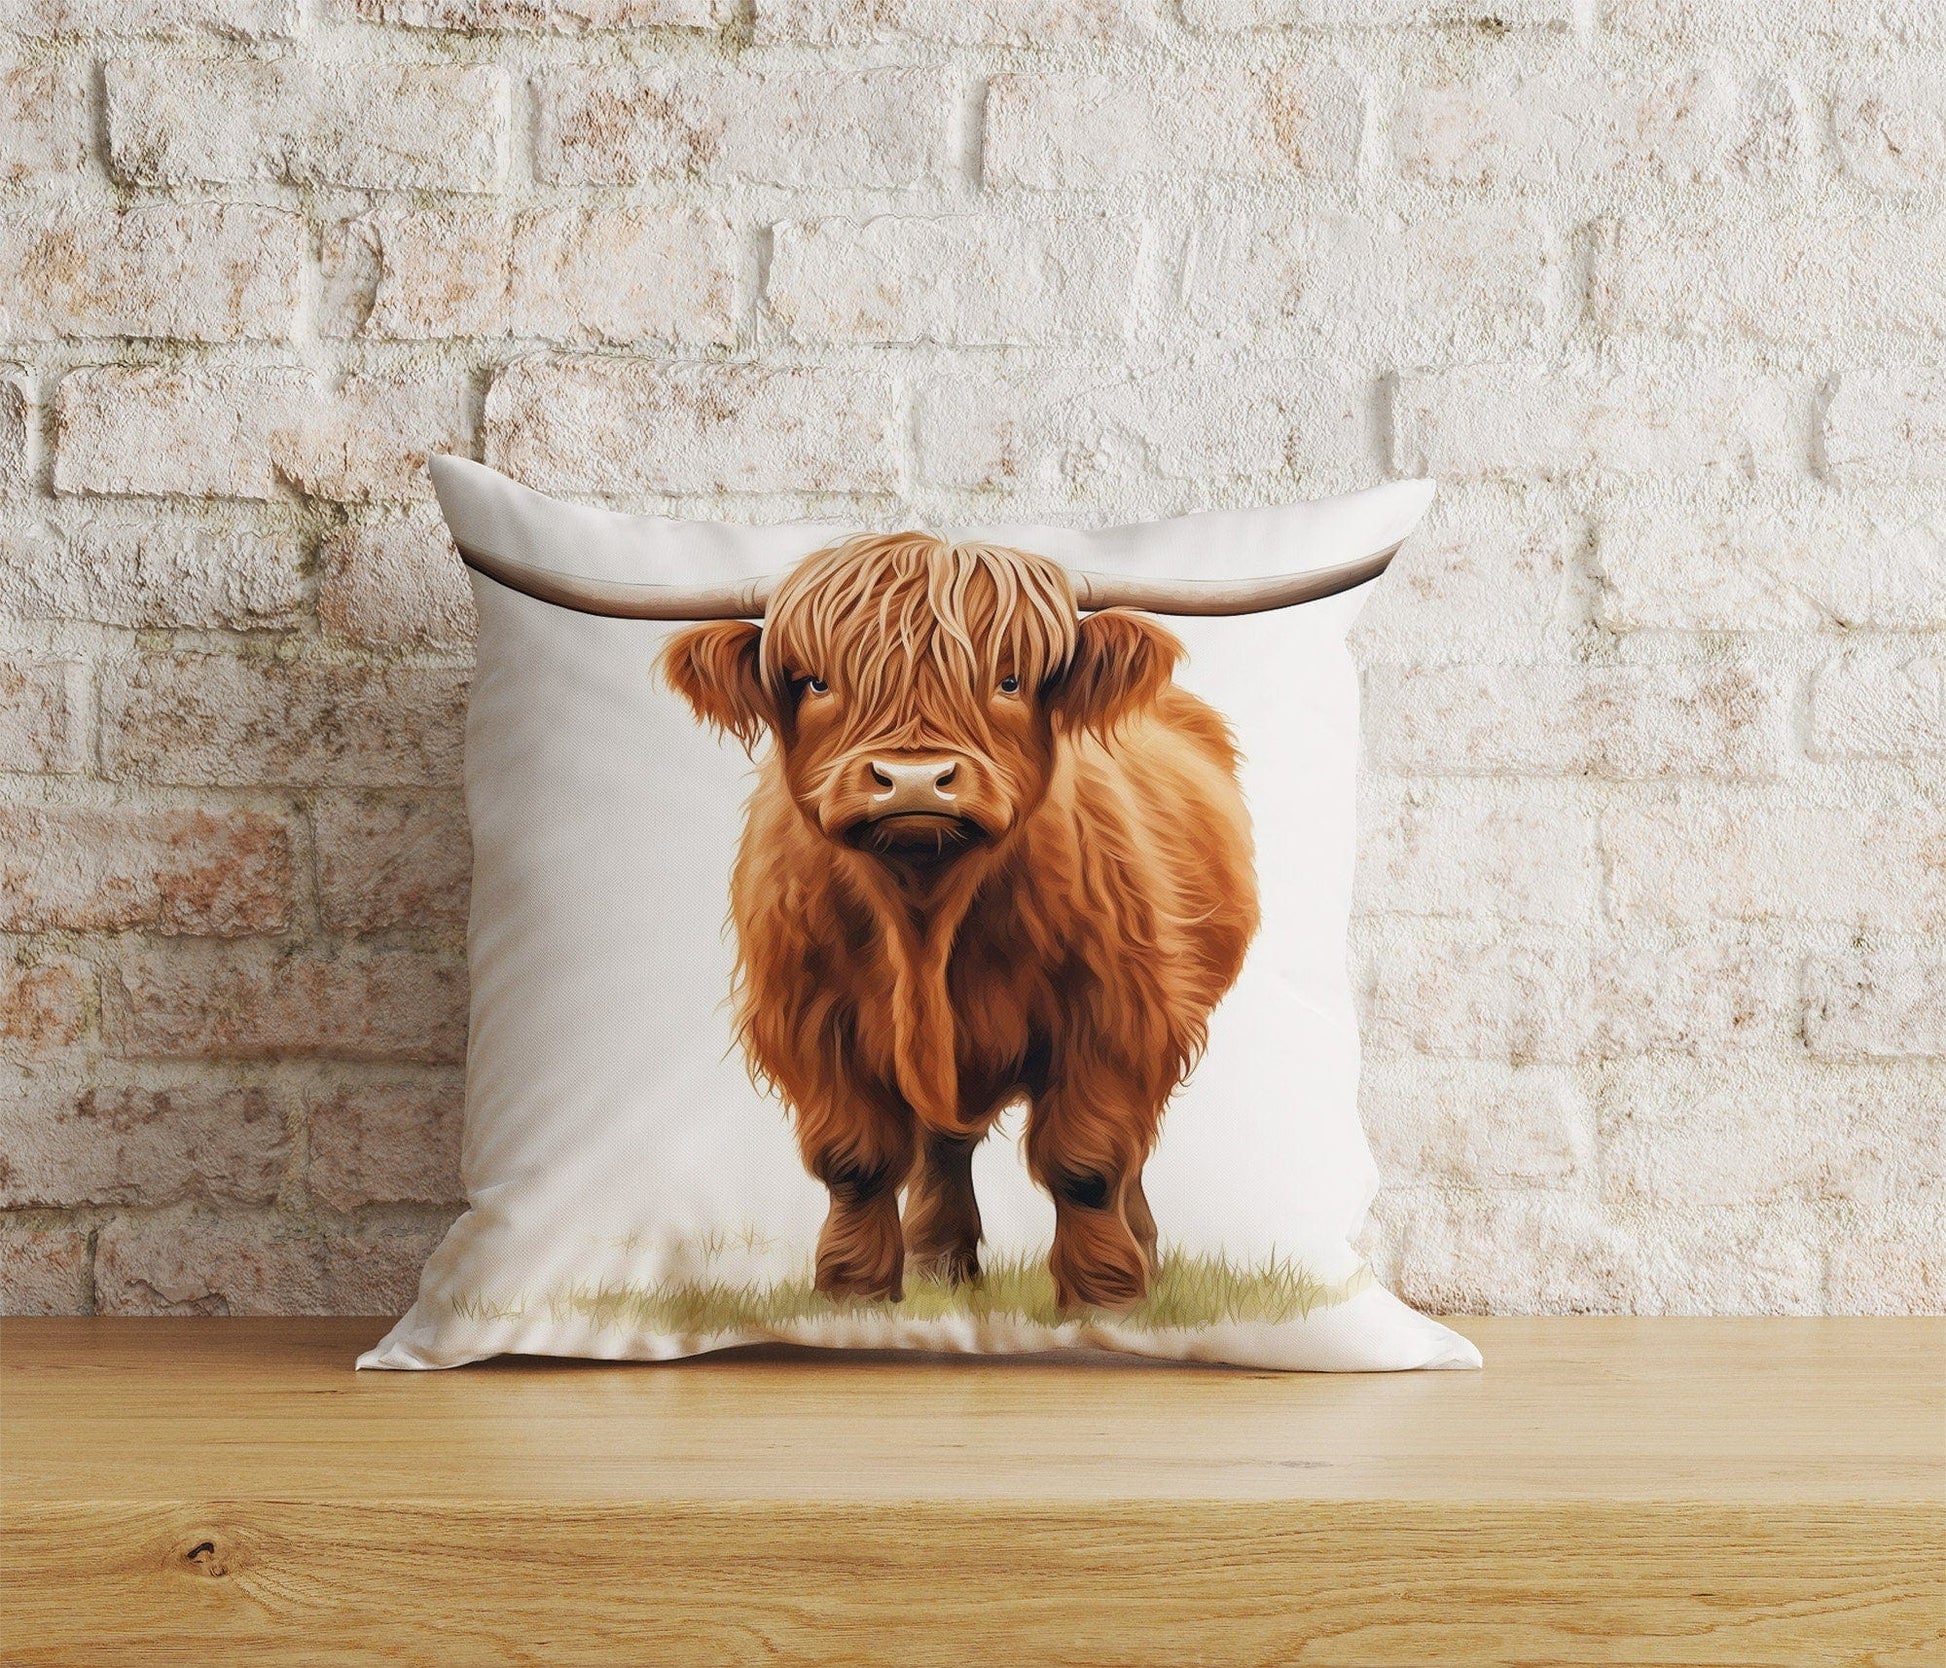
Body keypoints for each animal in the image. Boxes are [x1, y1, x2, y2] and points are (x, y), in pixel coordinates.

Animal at [455, 525, 1399, 1312]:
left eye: (1011, 678)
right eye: (816, 680)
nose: (913, 781)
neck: (924, 913)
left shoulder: (1115, 1018)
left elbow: (1088, 1161)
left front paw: (1105, 1299)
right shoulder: (811, 1019)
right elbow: (857, 1160)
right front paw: (854, 1294)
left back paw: (1144, 1258)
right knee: (948, 1141)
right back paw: (942, 1266)